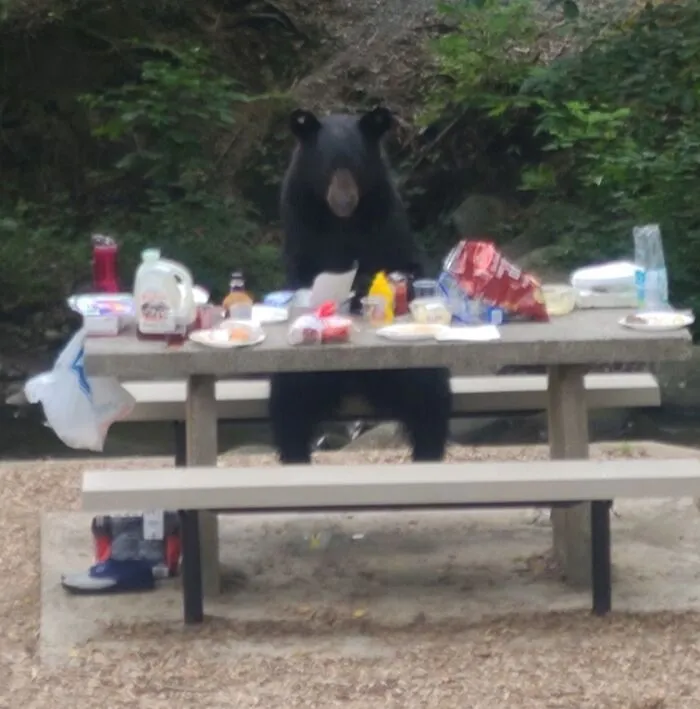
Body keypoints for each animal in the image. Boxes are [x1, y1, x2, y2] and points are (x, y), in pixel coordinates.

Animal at [268, 106, 452, 464]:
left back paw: (427, 451)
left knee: (429, 398)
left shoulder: (383, 215)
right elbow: (304, 274)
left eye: (355, 166)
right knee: (289, 404)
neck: (342, 223)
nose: (344, 201)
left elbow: (405, 264)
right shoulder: (300, 218)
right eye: (328, 167)